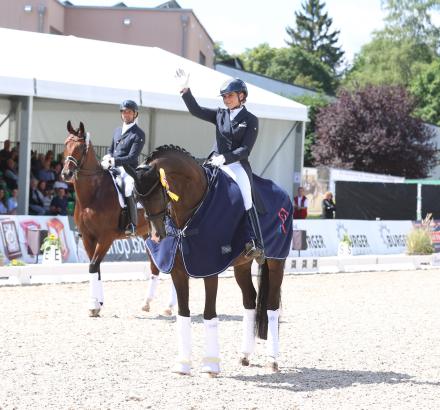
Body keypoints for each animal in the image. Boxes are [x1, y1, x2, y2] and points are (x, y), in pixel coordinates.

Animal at [61, 121, 159, 318]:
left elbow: (93, 266)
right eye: (65, 144)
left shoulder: (106, 237)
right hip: (147, 236)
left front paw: (93, 305)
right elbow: (95, 267)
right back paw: (147, 303)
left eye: (81, 147)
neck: (94, 193)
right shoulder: (88, 237)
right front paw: (98, 304)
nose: (66, 174)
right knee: (155, 267)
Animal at [132, 144, 288, 374]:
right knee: (250, 301)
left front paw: (211, 365)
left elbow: (208, 313)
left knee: (271, 305)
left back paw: (272, 359)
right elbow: (183, 312)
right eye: (138, 198)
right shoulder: (178, 271)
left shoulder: (209, 268)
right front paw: (183, 364)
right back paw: (245, 355)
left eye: (158, 193)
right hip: (242, 265)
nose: (156, 236)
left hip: (277, 261)